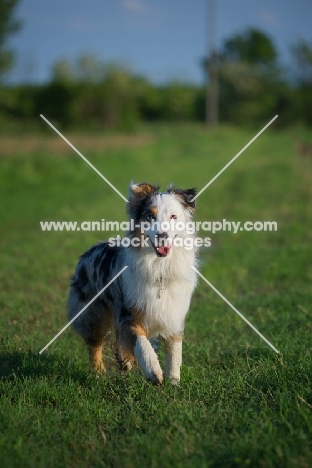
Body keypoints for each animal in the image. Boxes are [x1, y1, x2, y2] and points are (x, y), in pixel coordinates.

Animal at [68, 182, 197, 384]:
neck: (160, 266)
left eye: (173, 216)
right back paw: (98, 374)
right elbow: (141, 343)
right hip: (92, 314)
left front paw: (174, 381)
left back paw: (124, 361)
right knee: (95, 345)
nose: (162, 235)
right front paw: (154, 371)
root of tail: (89, 251)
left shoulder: (174, 313)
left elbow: (175, 351)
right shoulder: (129, 312)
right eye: (150, 217)